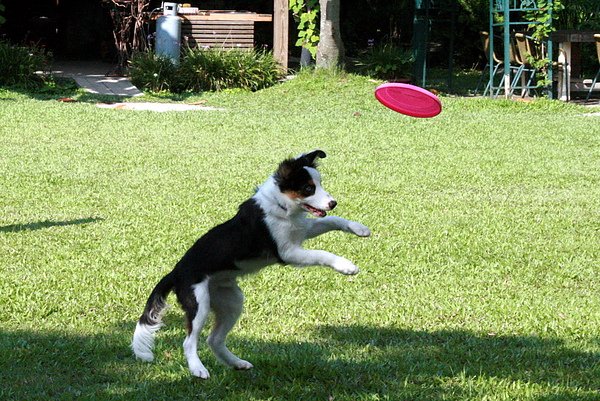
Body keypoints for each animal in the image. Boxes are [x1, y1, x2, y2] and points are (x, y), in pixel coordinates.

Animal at [131, 150, 370, 378]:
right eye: (308, 188)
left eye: (319, 185)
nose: (333, 203)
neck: (281, 206)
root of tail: (176, 271)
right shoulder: (288, 252)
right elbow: (322, 253)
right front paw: (346, 266)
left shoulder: (301, 231)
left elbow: (331, 220)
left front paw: (360, 228)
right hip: (199, 303)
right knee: (189, 341)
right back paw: (198, 369)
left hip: (231, 300)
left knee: (214, 340)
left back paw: (236, 363)